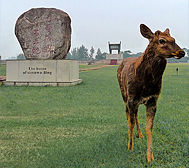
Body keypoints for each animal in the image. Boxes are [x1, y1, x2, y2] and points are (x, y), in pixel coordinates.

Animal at [117, 23, 185, 162]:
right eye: (162, 40)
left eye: (174, 39)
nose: (182, 52)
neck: (146, 84)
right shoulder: (132, 98)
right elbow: (131, 122)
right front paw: (130, 147)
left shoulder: (153, 99)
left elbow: (149, 127)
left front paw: (150, 157)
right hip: (124, 94)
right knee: (128, 115)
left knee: (135, 115)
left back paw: (140, 134)